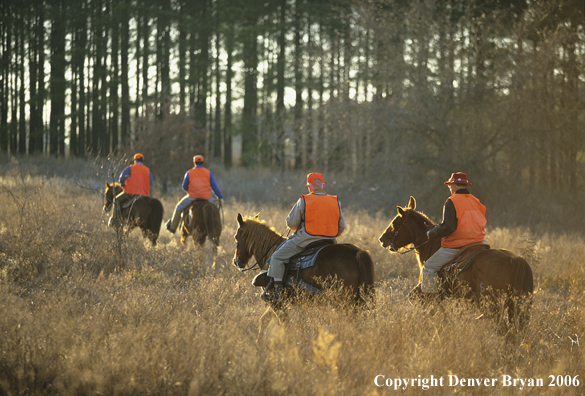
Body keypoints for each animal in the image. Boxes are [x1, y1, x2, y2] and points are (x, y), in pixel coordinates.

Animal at [376, 196, 532, 332]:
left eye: (395, 223)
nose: (382, 239)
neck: (432, 246)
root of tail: (515, 259)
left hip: (493, 307)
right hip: (512, 306)